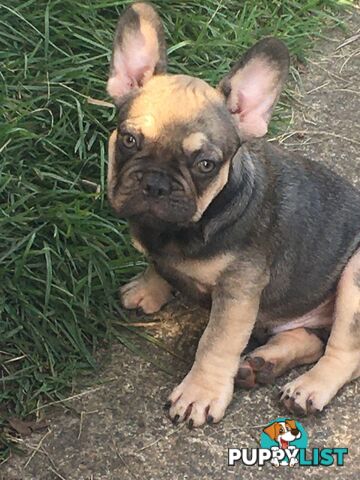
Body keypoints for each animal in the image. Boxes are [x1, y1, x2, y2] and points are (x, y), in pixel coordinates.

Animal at [105, 0, 360, 428]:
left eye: (205, 164)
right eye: (128, 139)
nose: (156, 183)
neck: (183, 229)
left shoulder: (239, 291)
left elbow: (216, 343)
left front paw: (200, 393)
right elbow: (157, 265)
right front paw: (148, 288)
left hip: (355, 278)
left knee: (344, 352)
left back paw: (308, 387)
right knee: (307, 338)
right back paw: (261, 365)